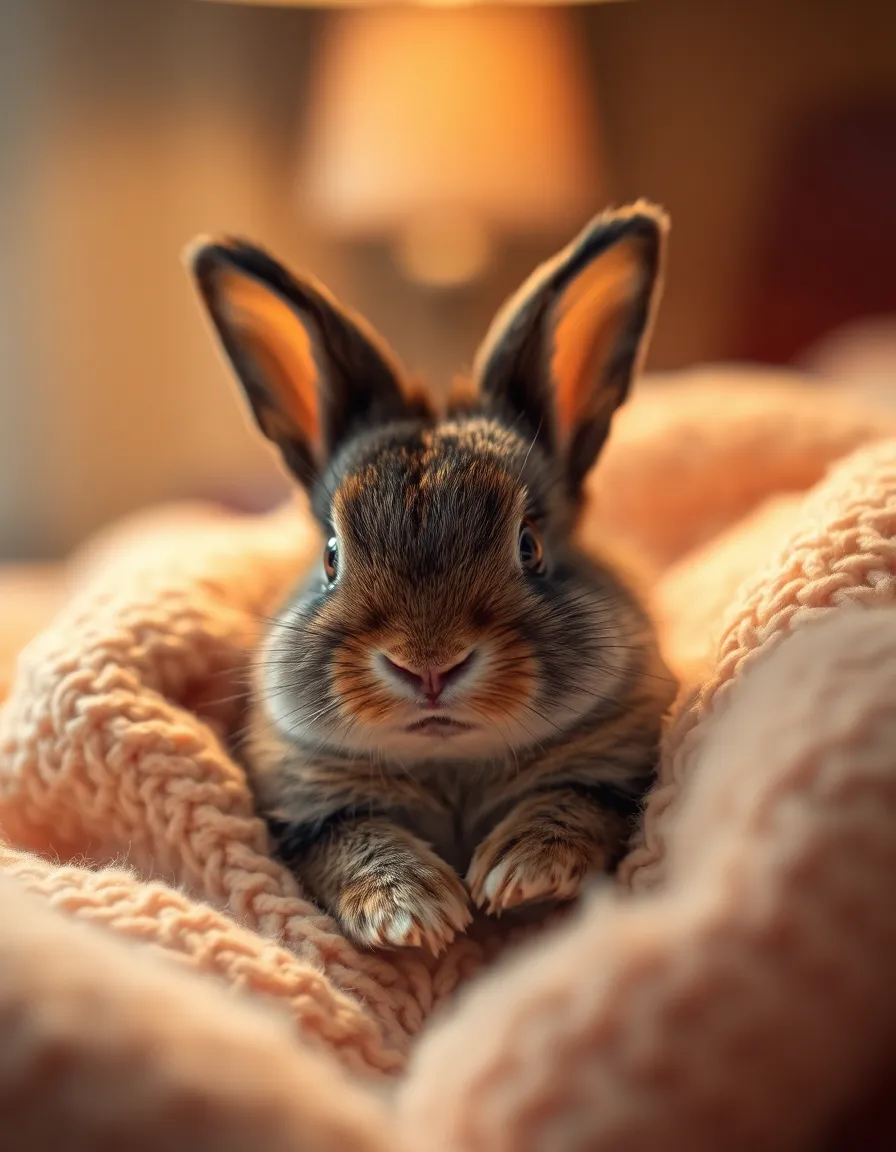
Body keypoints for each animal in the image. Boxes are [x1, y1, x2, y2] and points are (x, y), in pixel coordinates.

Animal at [186, 201, 677, 955]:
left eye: (531, 546)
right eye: (331, 556)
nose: (428, 667)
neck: (452, 766)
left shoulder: (618, 773)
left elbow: (574, 803)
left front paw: (518, 873)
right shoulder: (307, 813)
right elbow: (353, 841)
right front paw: (412, 910)